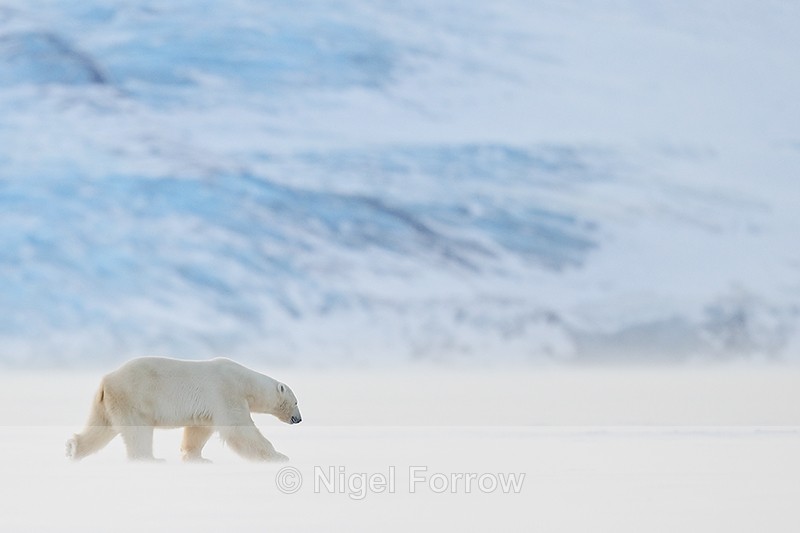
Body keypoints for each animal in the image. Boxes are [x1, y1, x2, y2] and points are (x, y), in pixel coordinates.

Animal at [65, 357, 301, 462]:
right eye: (297, 402)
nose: (298, 419)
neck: (244, 381)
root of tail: (107, 380)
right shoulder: (227, 392)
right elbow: (239, 429)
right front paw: (279, 456)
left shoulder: (209, 407)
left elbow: (199, 429)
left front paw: (196, 457)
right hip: (133, 398)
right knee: (138, 431)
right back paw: (150, 459)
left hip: (107, 403)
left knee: (101, 428)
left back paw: (73, 449)